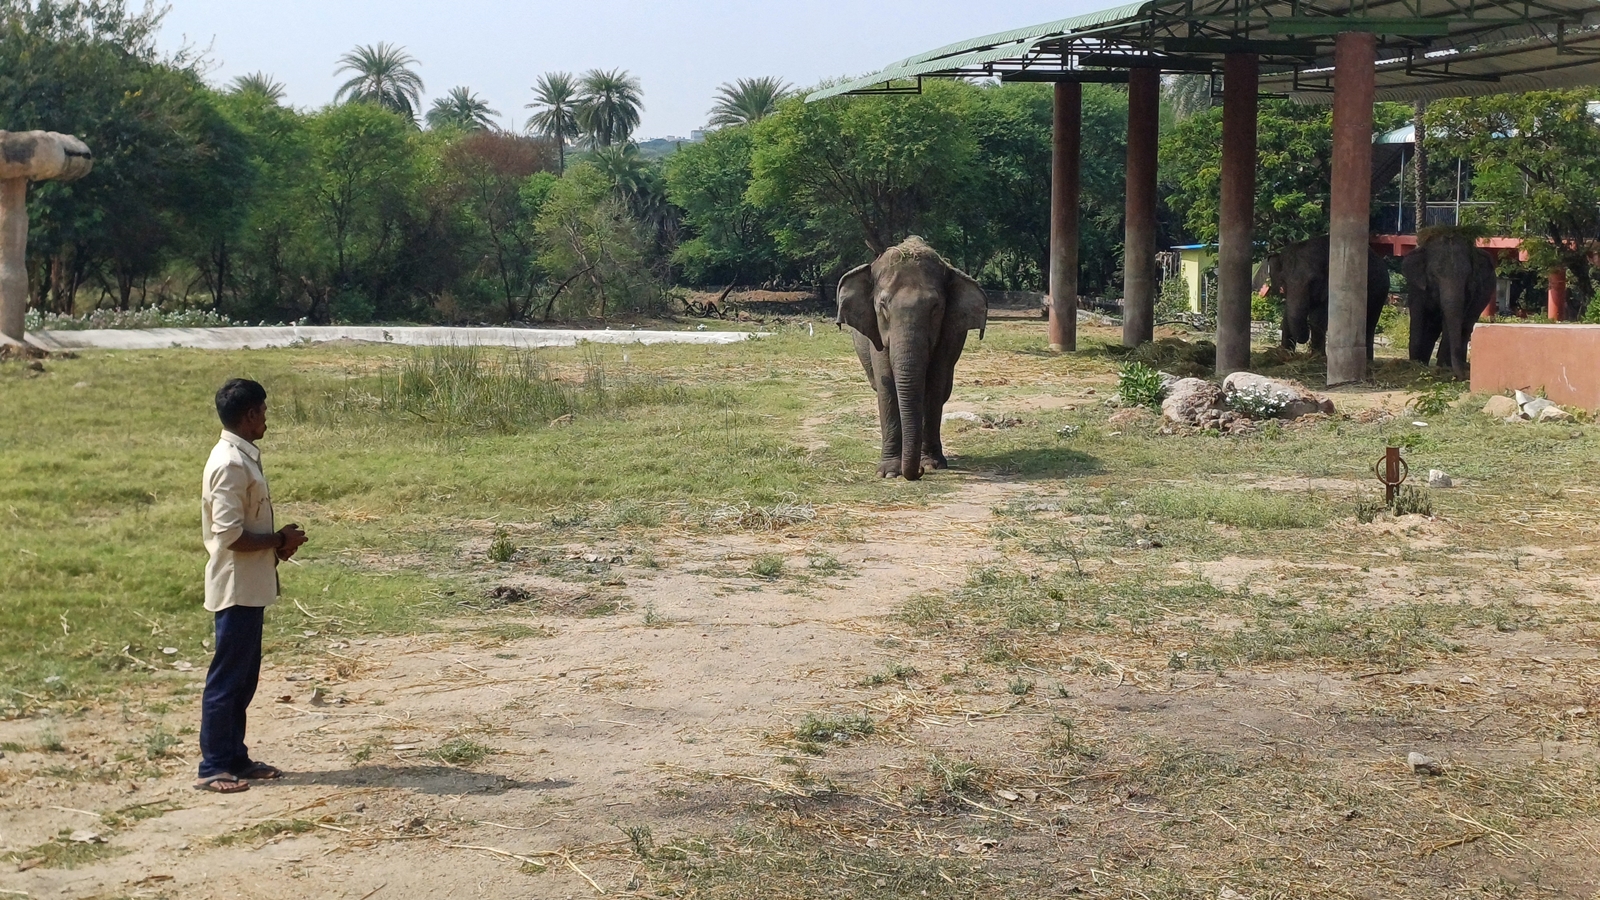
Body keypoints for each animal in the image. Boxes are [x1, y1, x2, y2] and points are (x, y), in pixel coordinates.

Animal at [838, 235, 985, 480]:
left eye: (936, 307)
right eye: (882, 306)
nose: (919, 471)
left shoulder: (948, 335)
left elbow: (934, 385)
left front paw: (932, 464)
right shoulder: (876, 334)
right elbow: (887, 386)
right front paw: (889, 472)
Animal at [1254, 235, 1395, 360]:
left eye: (1313, 281)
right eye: (1283, 281)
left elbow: (1317, 318)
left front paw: (1316, 357)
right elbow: (1287, 316)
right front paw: (1284, 355)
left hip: (1380, 293)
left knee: (1369, 324)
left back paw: (1367, 360)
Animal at [1401, 230, 1497, 377]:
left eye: (1467, 276)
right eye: (1433, 276)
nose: (1462, 377)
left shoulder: (1470, 292)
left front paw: (1442, 368)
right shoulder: (1416, 287)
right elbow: (1418, 317)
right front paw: (1415, 366)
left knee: (1466, 328)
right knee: (1432, 329)